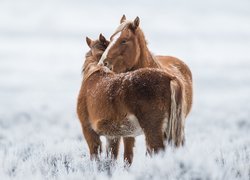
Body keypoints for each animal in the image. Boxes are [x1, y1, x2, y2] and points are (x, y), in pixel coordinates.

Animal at [78, 33, 186, 165]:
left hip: (153, 131)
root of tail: (171, 78)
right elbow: (112, 159)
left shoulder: (89, 131)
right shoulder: (113, 137)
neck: (94, 73)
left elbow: (96, 157)